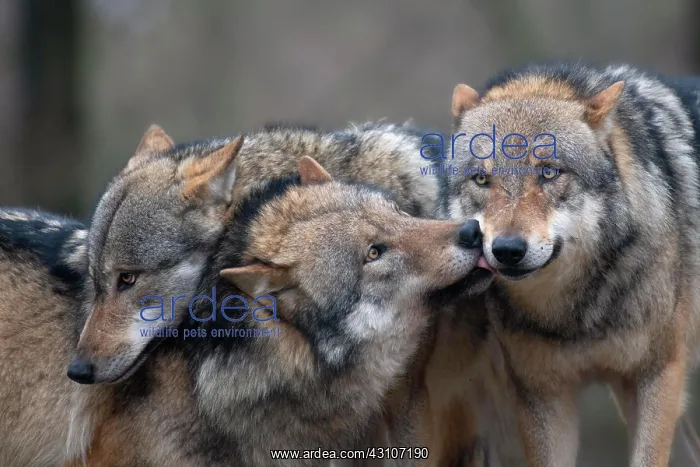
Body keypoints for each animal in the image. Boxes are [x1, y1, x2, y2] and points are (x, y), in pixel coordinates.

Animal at [441, 62, 700, 466]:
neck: (575, 314)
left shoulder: (658, 375)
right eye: (481, 179)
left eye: (549, 172)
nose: (507, 249)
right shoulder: (542, 395)